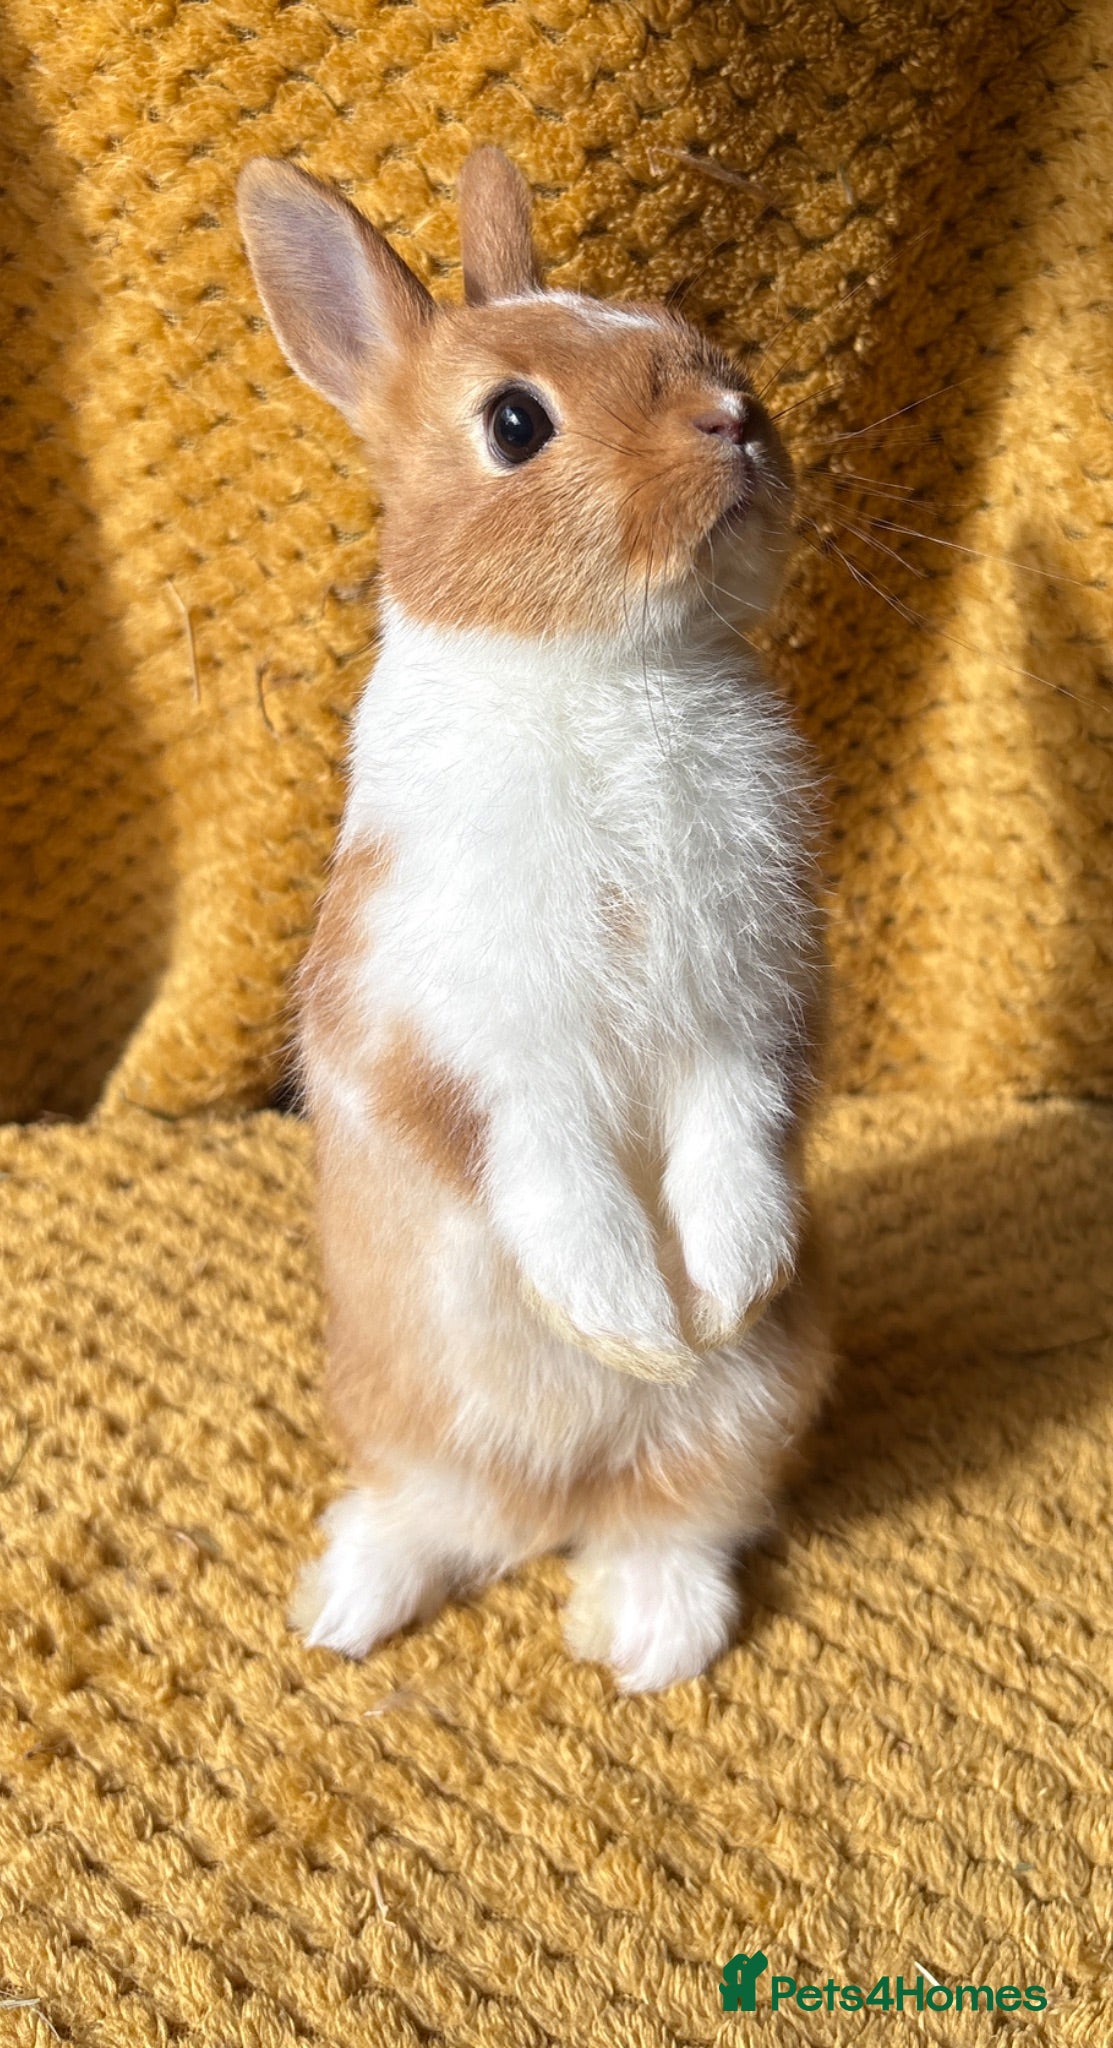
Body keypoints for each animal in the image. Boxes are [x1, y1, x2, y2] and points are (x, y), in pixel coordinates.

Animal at [237, 145, 833, 1693]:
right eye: (515, 422)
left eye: (697, 336)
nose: (736, 421)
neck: (605, 664)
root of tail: (550, 1496)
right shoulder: (464, 1038)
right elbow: (541, 1166)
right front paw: (630, 1320)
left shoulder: (749, 1013)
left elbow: (736, 1128)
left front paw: (717, 1292)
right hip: (400, 1408)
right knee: (438, 1514)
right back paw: (346, 1607)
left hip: (754, 1410)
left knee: (671, 1515)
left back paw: (648, 1636)